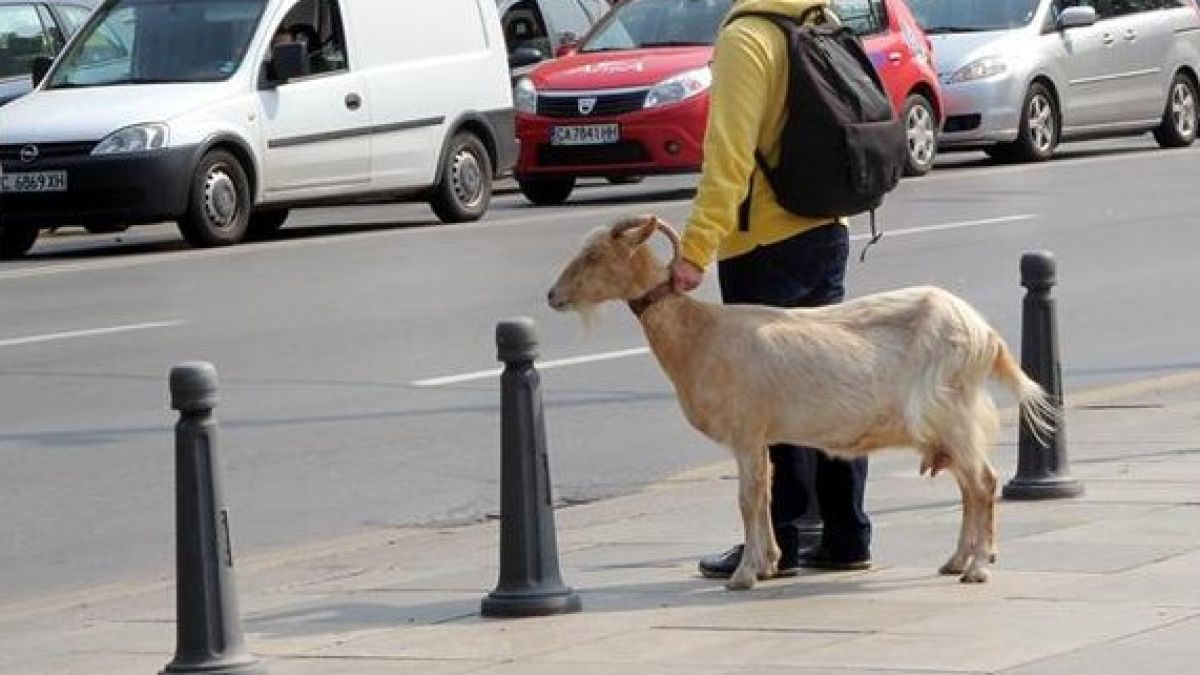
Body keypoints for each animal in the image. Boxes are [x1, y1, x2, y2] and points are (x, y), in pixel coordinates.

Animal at [547, 215, 1055, 591]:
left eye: (594, 255)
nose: (553, 296)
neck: (701, 333)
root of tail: (985, 334)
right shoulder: (760, 436)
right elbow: (766, 493)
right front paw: (768, 562)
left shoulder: (746, 430)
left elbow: (748, 498)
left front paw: (743, 574)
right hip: (950, 421)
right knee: (970, 488)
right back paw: (955, 561)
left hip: (952, 413)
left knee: (984, 483)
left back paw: (978, 568)